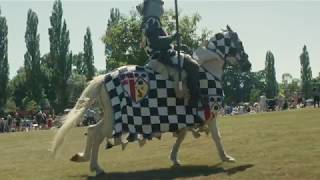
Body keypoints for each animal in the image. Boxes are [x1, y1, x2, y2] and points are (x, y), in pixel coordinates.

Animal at [51, 24, 251, 175]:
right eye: (239, 42)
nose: (248, 65)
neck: (207, 69)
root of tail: (103, 78)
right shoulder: (209, 114)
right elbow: (217, 137)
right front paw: (226, 157)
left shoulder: (185, 117)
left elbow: (181, 136)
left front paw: (174, 158)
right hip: (114, 120)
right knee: (97, 134)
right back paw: (95, 166)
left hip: (109, 116)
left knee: (92, 131)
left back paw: (87, 161)